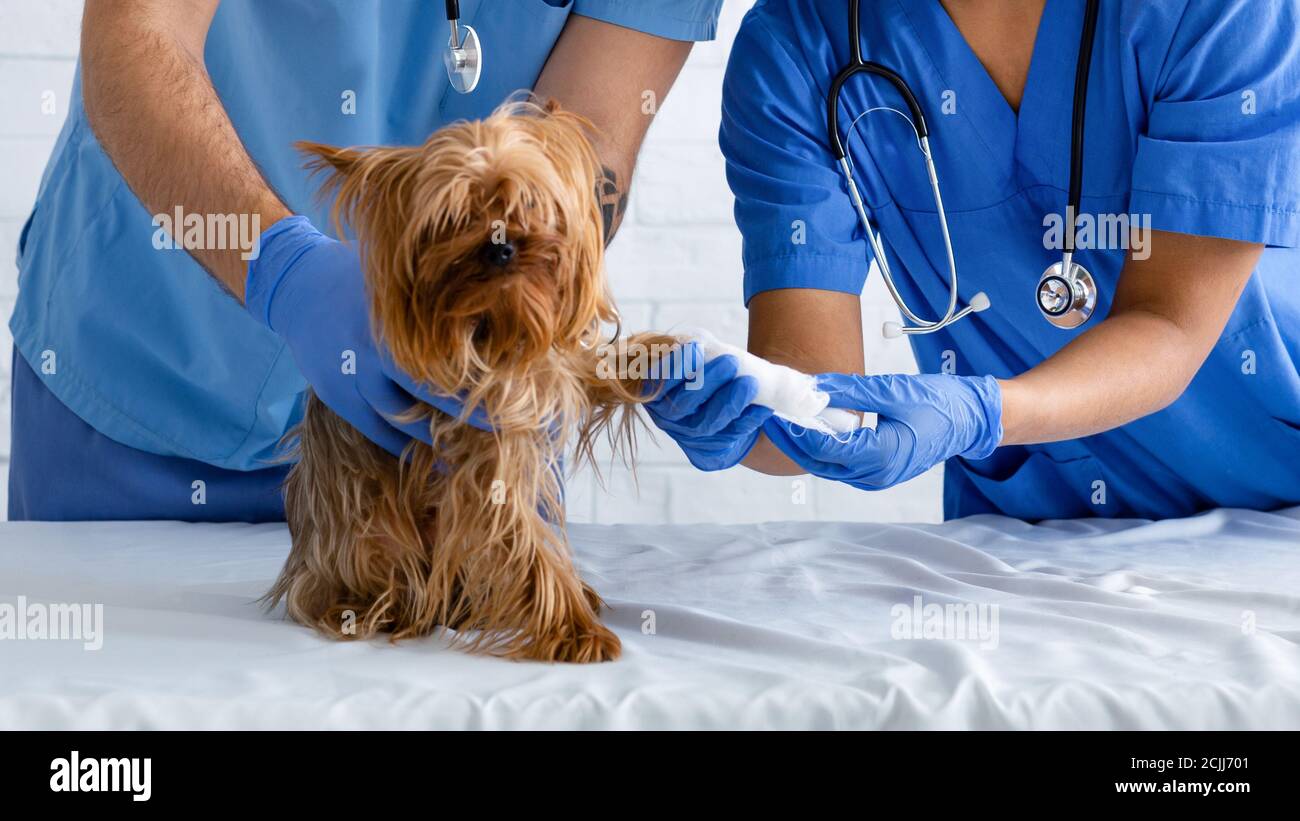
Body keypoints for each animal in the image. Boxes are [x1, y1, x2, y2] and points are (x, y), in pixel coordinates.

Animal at [270, 101, 681, 659]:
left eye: (528, 202)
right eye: (454, 218)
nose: (500, 246)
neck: (497, 324)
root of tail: (303, 566)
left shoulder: (549, 367)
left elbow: (585, 365)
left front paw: (660, 356)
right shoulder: (480, 458)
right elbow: (523, 543)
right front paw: (575, 630)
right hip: (372, 540)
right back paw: (387, 610)